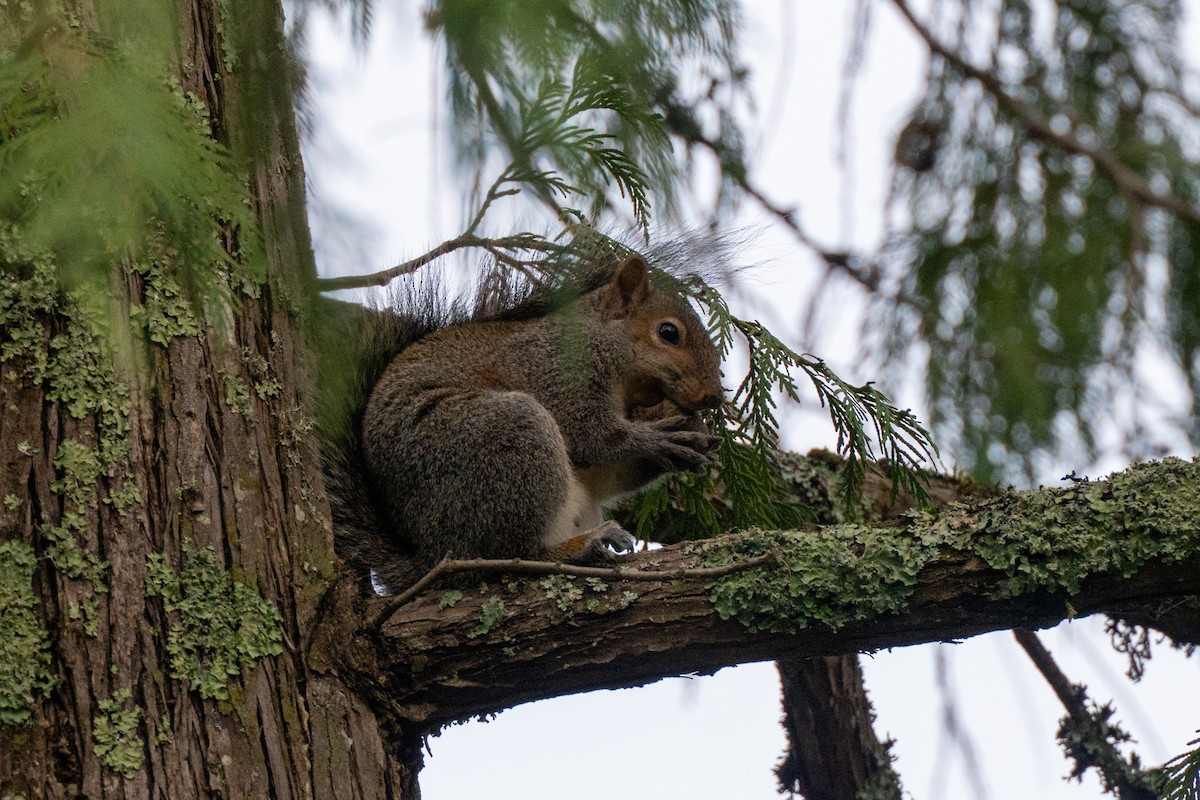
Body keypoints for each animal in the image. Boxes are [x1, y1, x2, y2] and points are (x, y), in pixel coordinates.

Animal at [319, 251, 725, 593]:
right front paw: (655, 439)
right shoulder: (554, 372)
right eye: (668, 333)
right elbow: (590, 436)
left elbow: (606, 474)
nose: (714, 397)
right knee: (508, 555)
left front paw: (691, 439)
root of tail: (432, 555)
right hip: (507, 438)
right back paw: (577, 550)